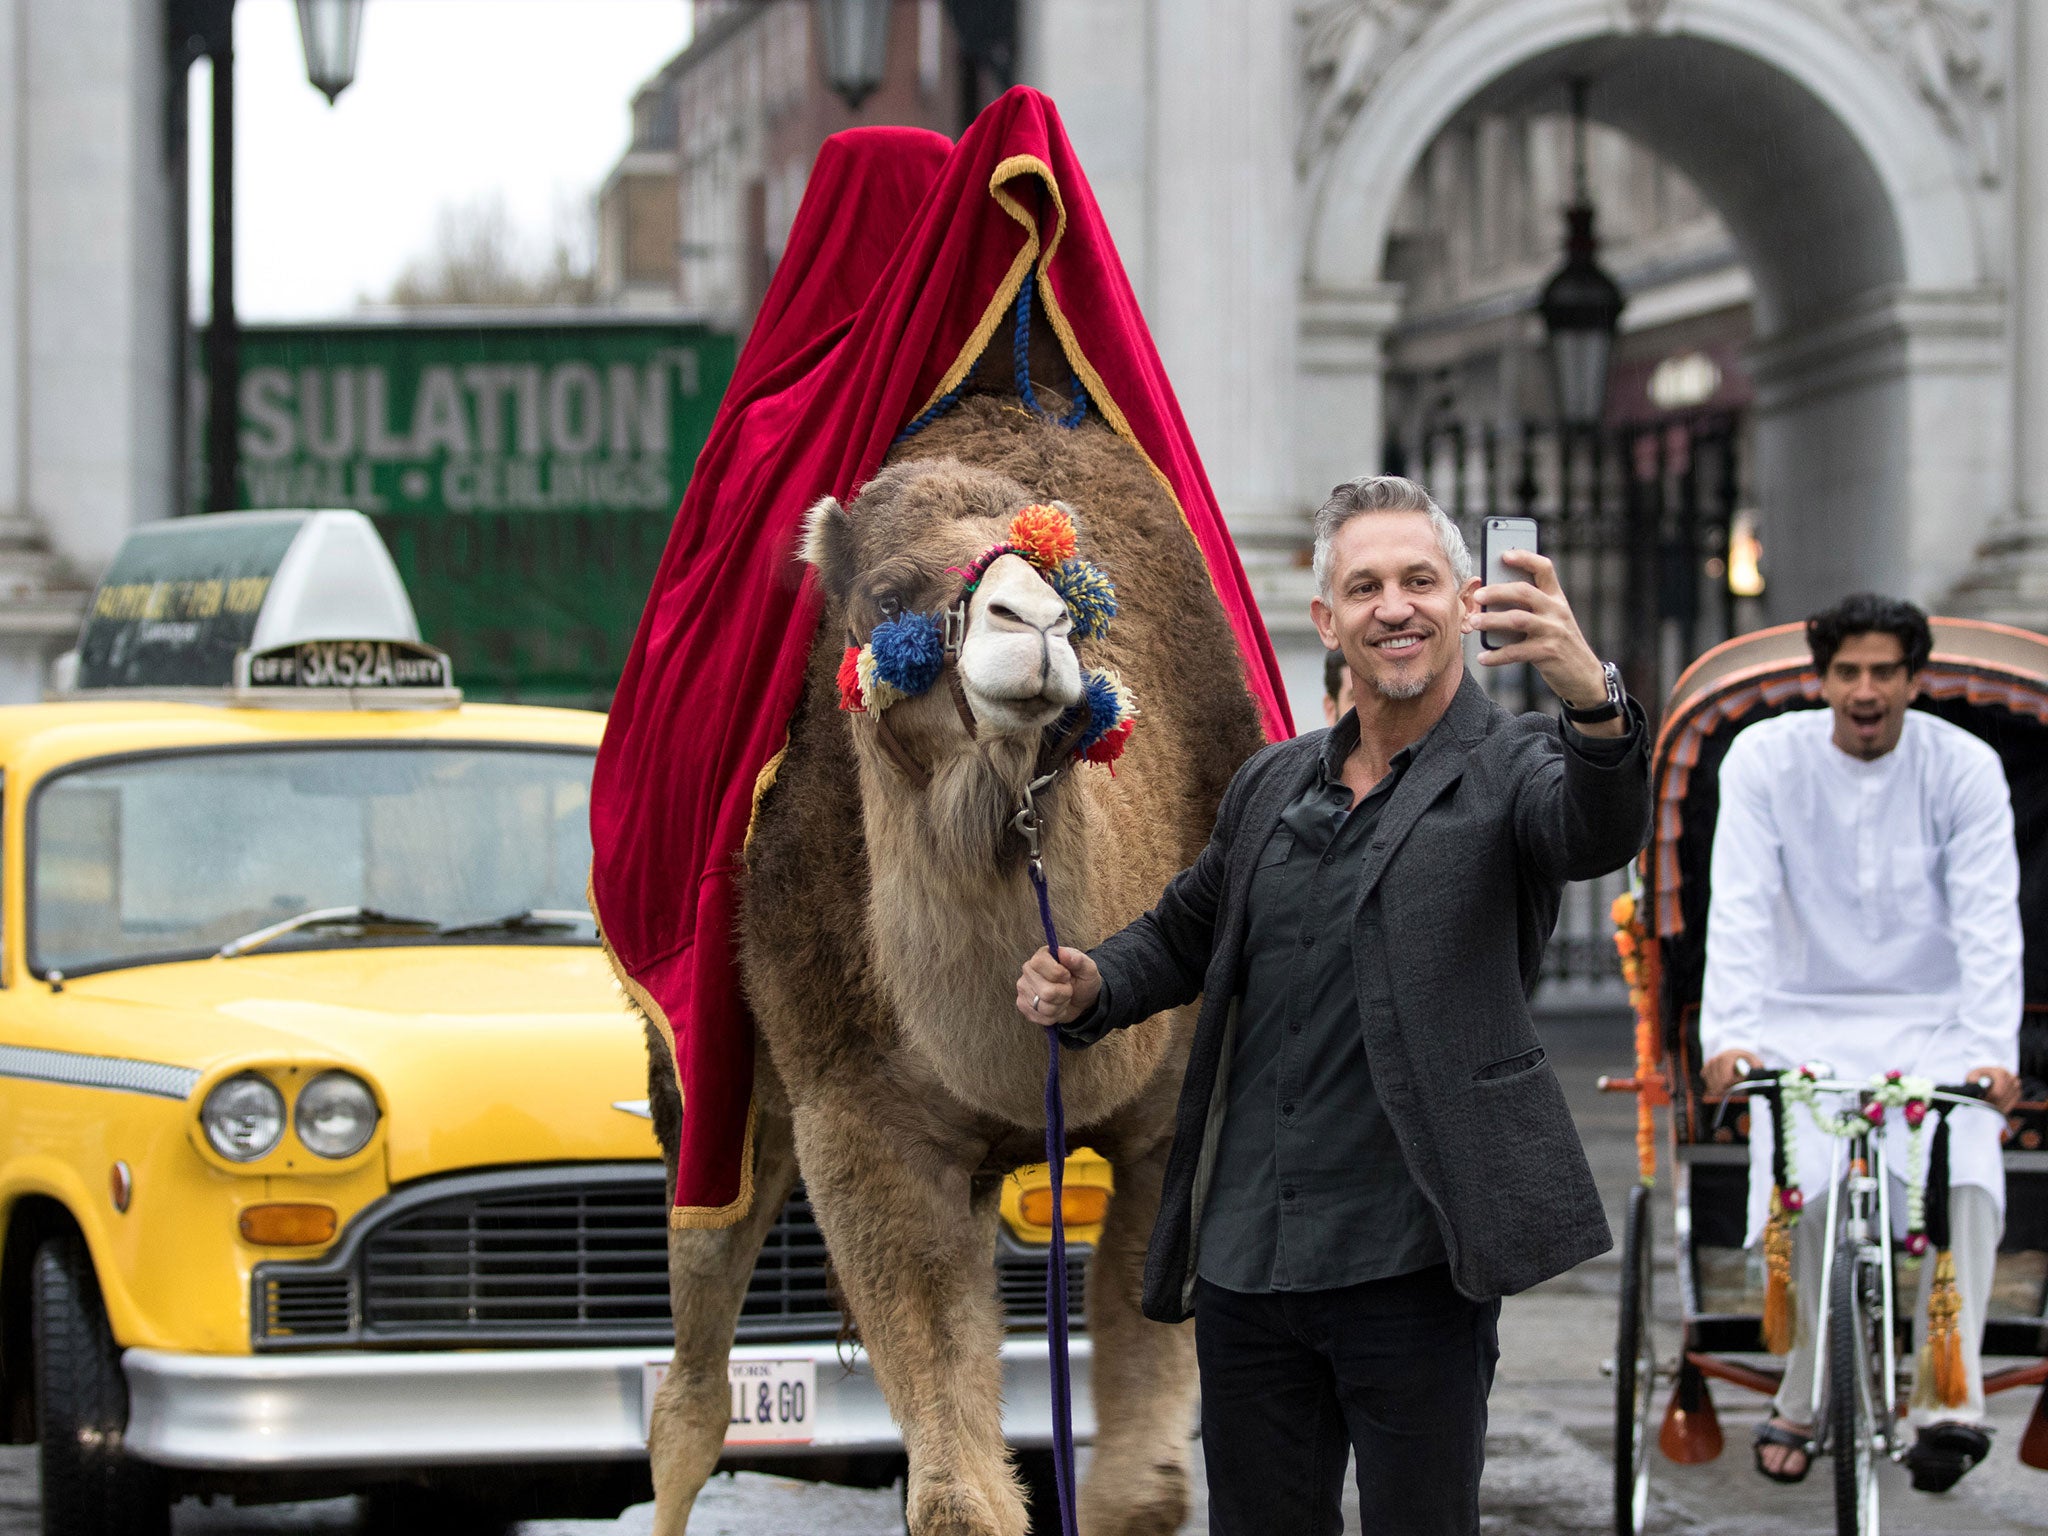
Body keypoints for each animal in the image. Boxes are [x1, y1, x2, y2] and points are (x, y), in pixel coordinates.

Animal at [643, 378, 1261, 1531]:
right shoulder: (863, 1127)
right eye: (889, 591)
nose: (1034, 628)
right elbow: (957, 1499)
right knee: (691, 1388)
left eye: (1075, 591)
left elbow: (1138, 1489)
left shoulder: (1170, 1126)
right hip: (708, 1081)